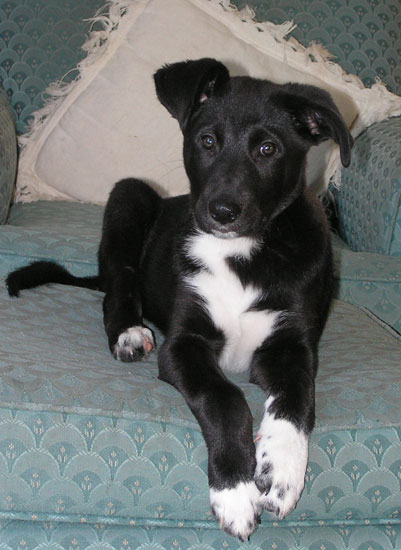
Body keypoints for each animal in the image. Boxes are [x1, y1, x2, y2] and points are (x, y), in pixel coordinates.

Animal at [5, 58, 350, 540]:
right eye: (207, 141)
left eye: (268, 149)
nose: (222, 211)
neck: (240, 253)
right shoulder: (184, 344)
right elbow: (225, 399)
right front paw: (235, 491)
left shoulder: (291, 346)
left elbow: (297, 400)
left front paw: (281, 471)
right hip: (129, 196)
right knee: (118, 287)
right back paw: (129, 333)